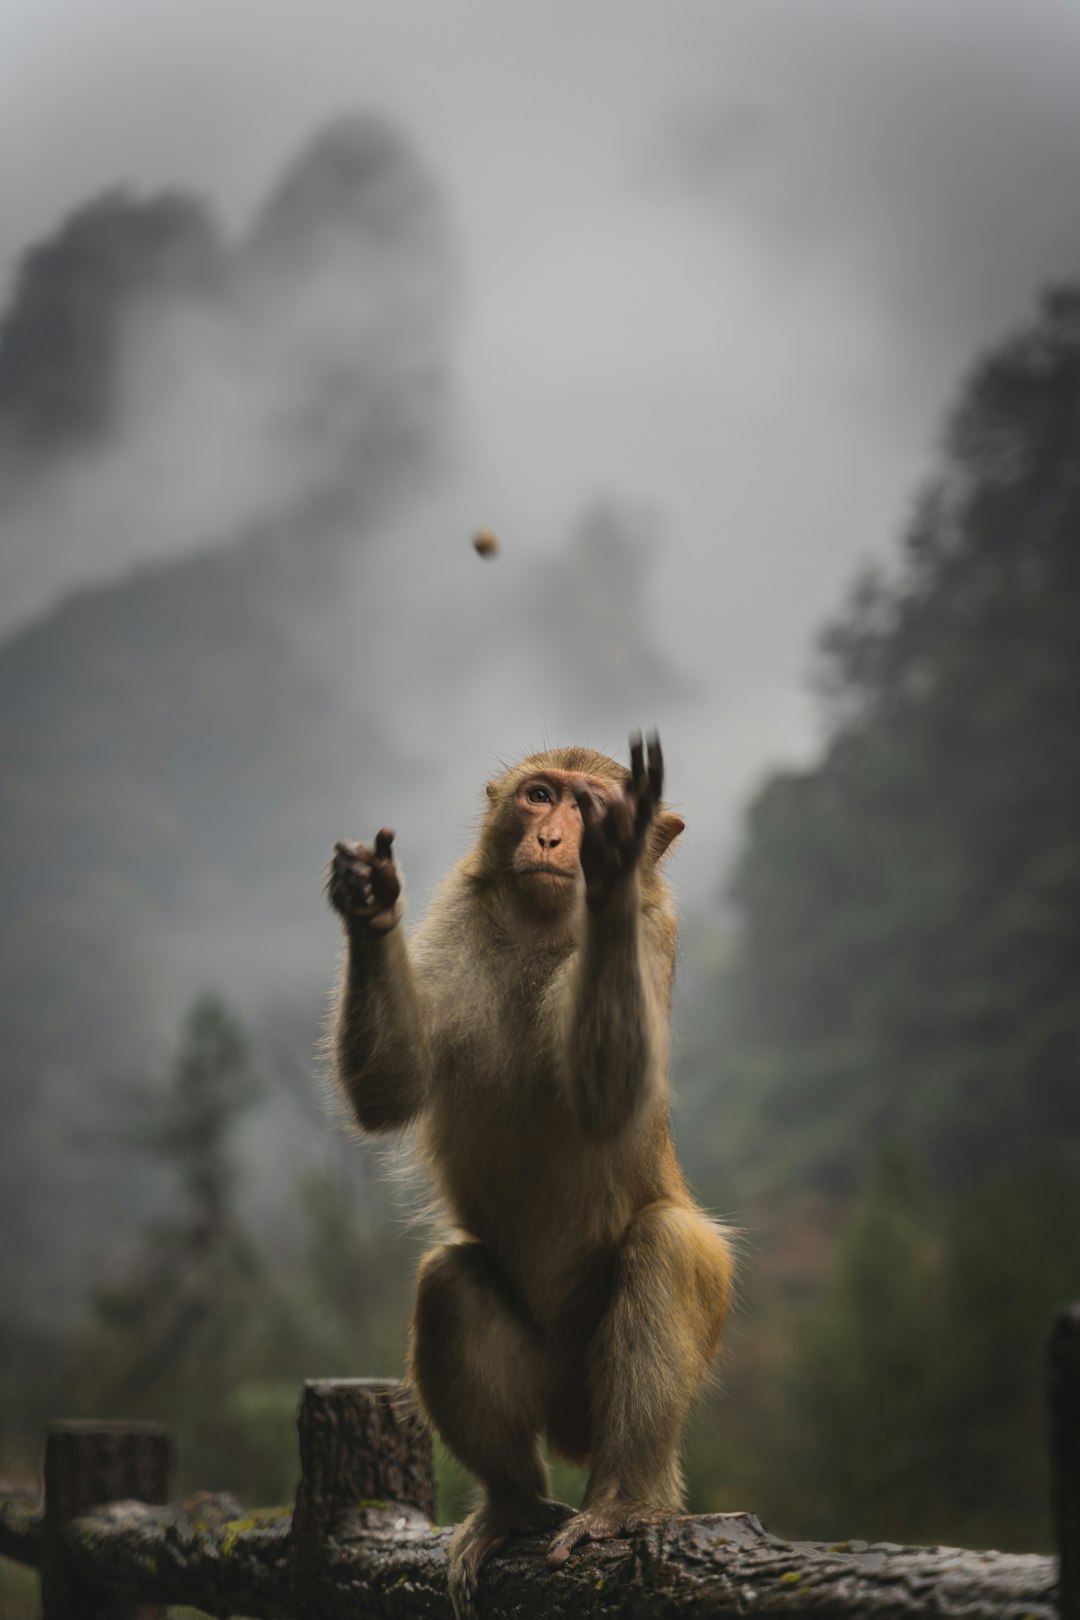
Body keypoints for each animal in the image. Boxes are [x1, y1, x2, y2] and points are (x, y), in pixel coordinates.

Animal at [327, 741, 735, 1613]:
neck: (542, 926)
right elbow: (395, 1090)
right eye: (541, 796)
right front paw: (370, 903)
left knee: (669, 1244)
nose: (555, 838)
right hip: (549, 1384)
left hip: (612, 1395)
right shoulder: (456, 911)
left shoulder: (655, 934)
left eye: (586, 805)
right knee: (450, 1282)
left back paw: (623, 1503)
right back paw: (513, 1503)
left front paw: (613, 868)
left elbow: (607, 1101)